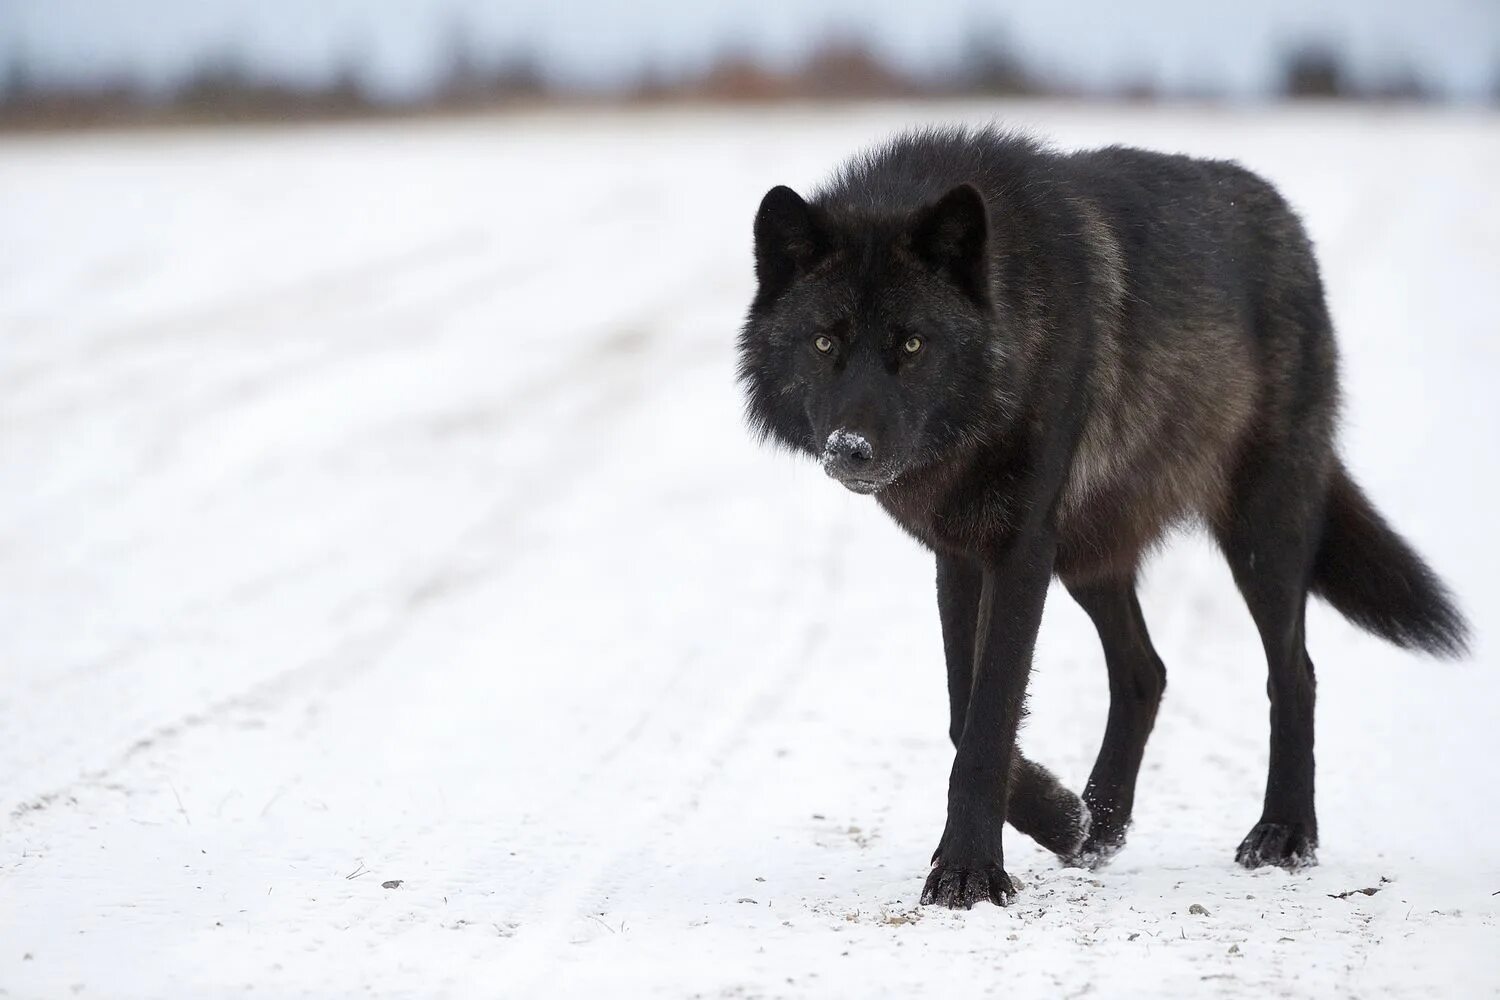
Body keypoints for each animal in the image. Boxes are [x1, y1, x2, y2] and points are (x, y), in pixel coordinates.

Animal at [735, 122, 1464, 905]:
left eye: (911, 343)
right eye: (824, 342)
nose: (852, 449)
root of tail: (1286, 219)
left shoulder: (1020, 549)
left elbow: (988, 718)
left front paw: (970, 871)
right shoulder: (962, 552)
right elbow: (965, 712)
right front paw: (1061, 818)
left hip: (1259, 535)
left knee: (1293, 671)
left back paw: (1285, 834)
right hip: (1089, 555)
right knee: (1146, 672)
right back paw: (1100, 824)